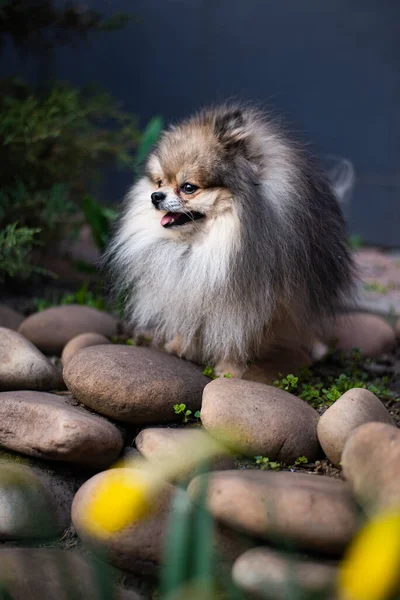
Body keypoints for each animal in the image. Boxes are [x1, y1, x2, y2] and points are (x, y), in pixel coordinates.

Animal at [107, 103, 354, 376]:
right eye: (160, 182)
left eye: (188, 187)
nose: (155, 196)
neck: (206, 244)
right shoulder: (192, 289)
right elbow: (192, 321)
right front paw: (180, 346)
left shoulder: (254, 305)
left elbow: (240, 337)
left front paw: (229, 371)